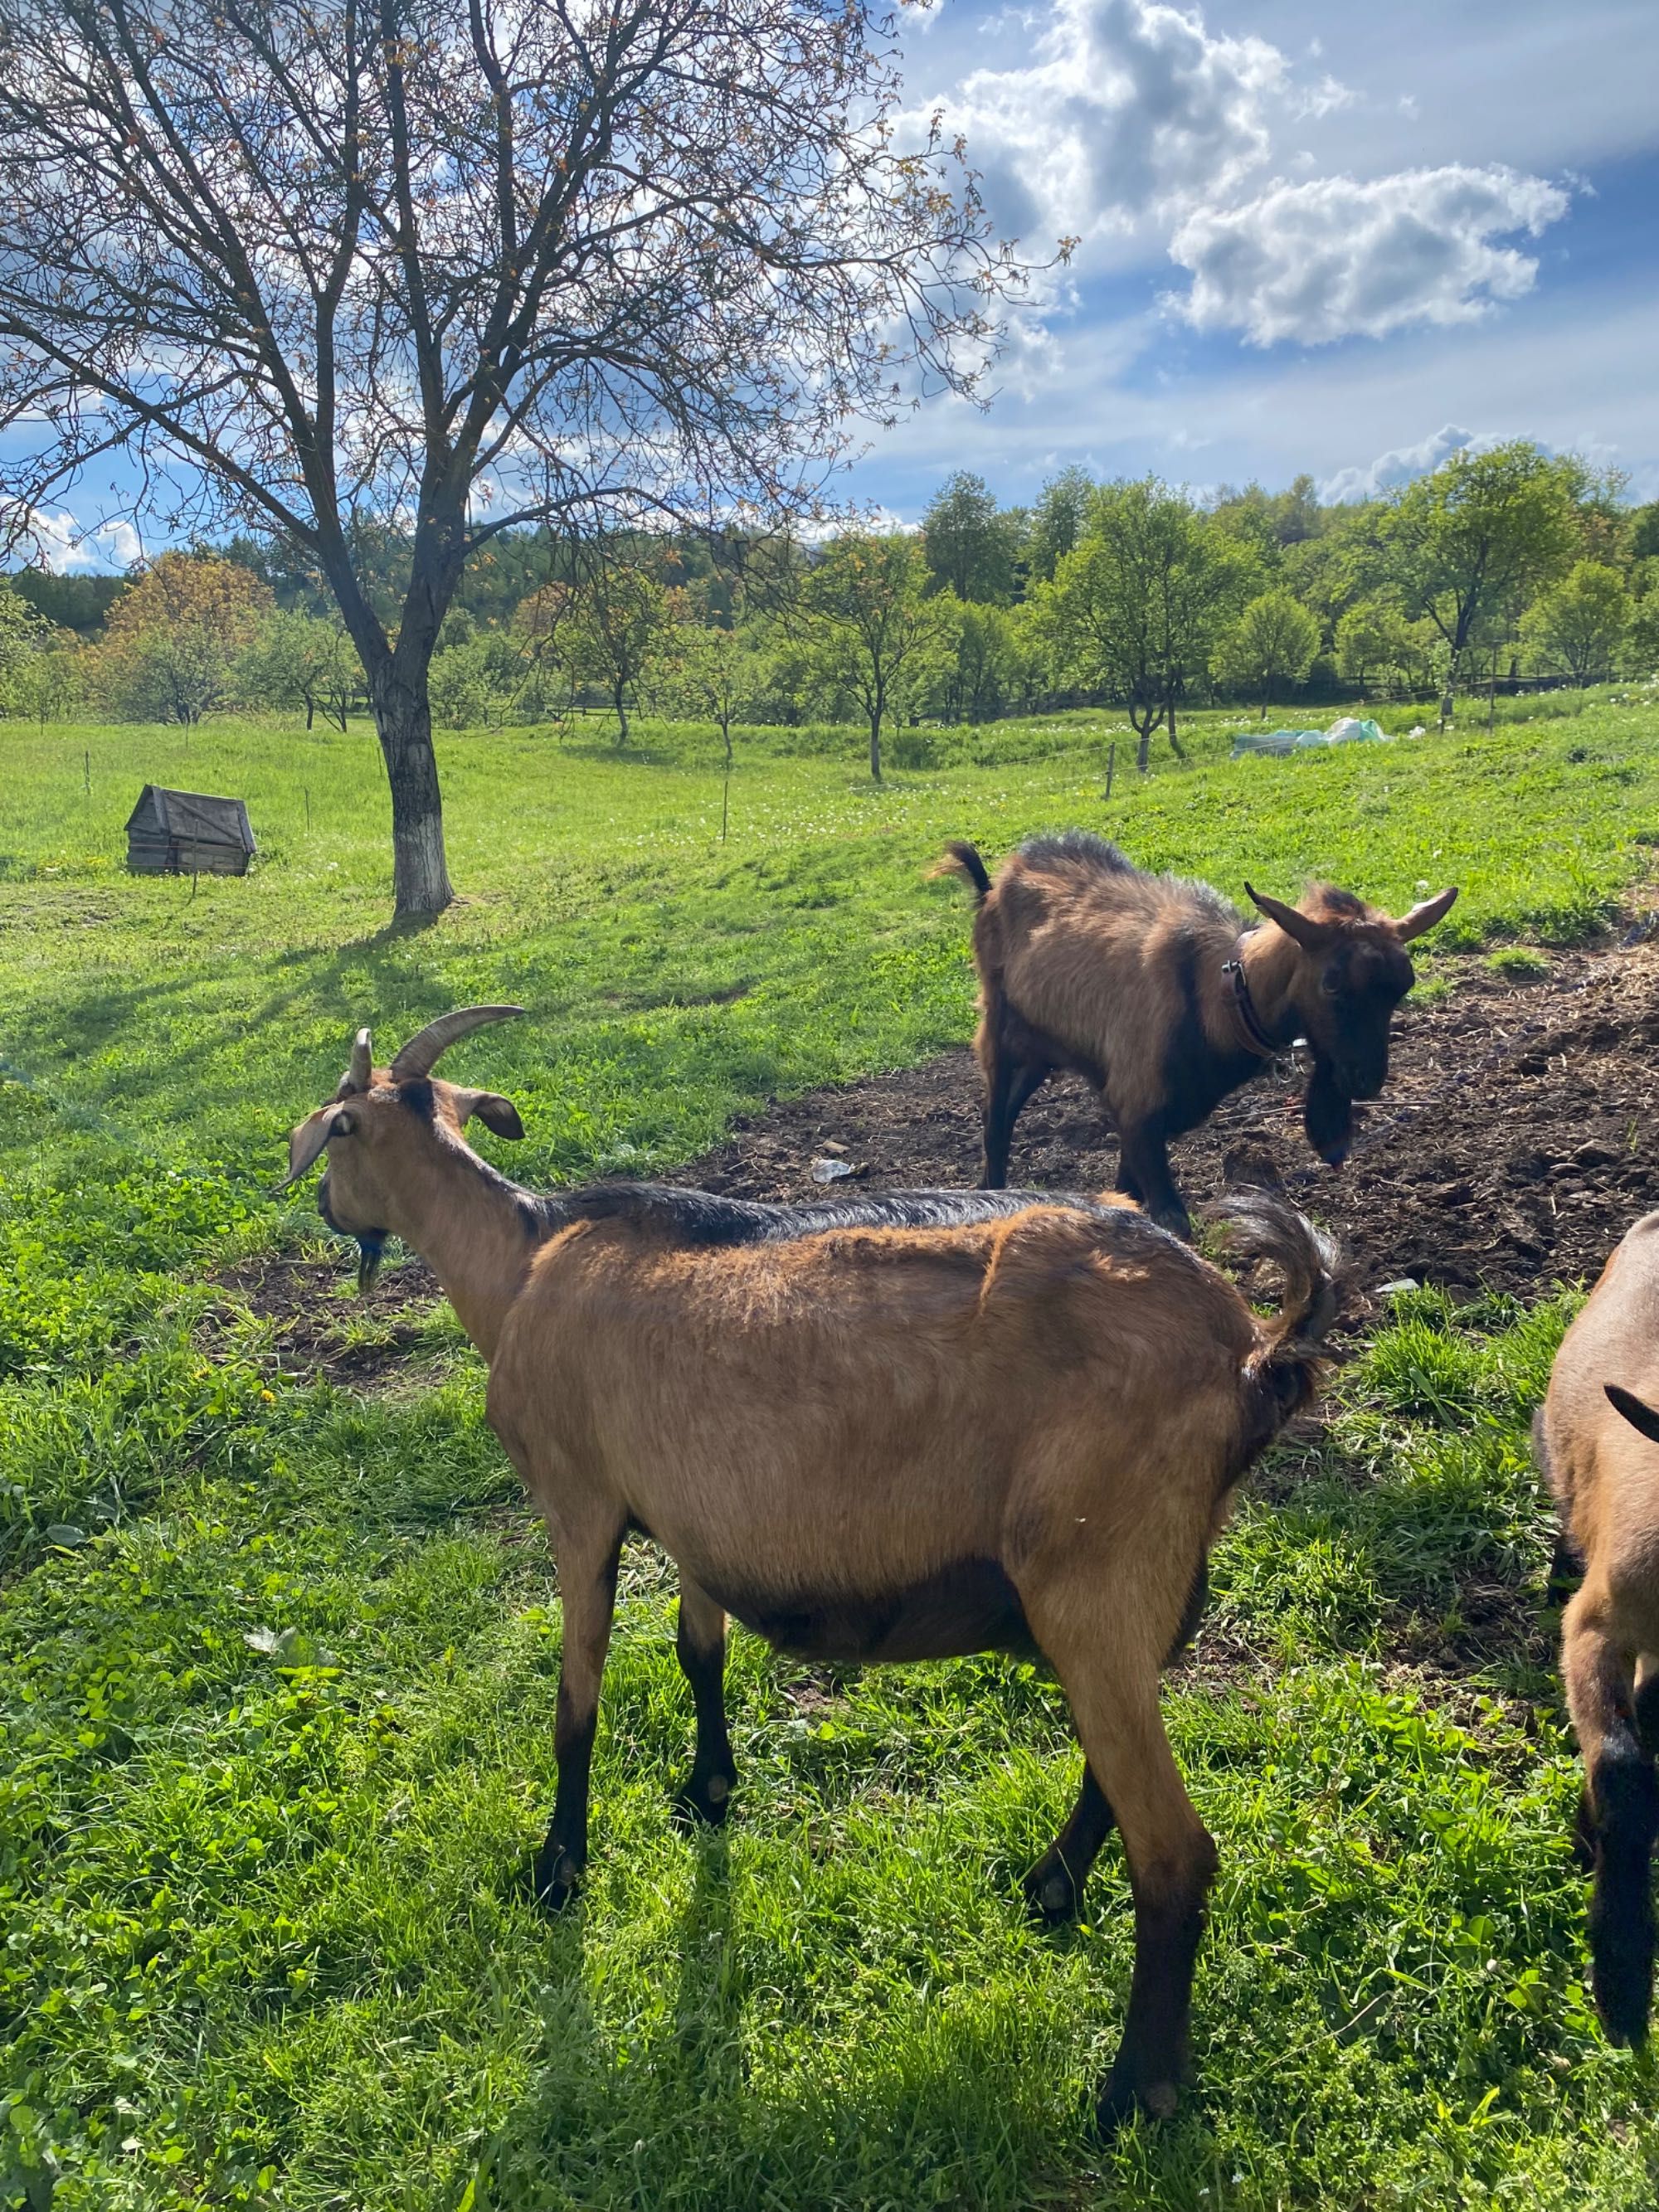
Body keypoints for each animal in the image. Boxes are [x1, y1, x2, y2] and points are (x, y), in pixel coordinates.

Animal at [285, 1013, 1345, 2132]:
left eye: (339, 1135)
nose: (323, 1205)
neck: (523, 1265)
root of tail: (1252, 1354)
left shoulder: (578, 1503)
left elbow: (576, 1702)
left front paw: (557, 1870)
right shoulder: (696, 1517)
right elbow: (696, 1654)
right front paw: (707, 1788)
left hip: (1092, 1573)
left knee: (1176, 1852)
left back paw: (1134, 2089)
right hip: (1144, 1583)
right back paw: (1051, 1888)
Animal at [942, 831, 1460, 1238]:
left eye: (1403, 986)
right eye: (1331, 984)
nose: (1365, 1079)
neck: (1218, 996)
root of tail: (993, 886)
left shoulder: (1142, 1115)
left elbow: (1126, 1192)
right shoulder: (1137, 1102)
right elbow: (1170, 1220)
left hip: (1041, 1051)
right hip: (1001, 1033)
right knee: (996, 1122)